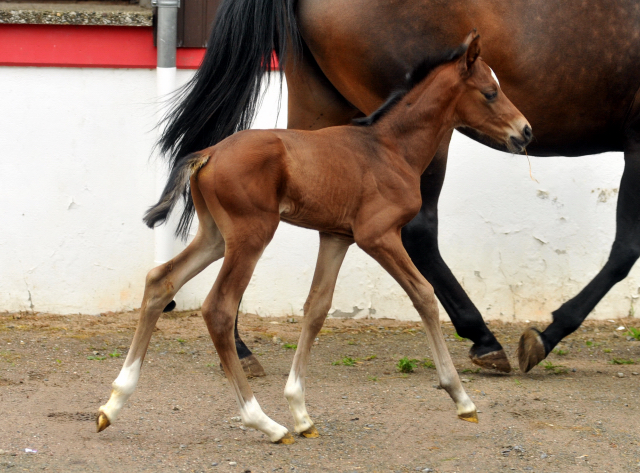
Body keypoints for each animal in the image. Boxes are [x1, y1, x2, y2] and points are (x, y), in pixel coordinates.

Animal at [99, 34, 528, 442]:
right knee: (219, 308)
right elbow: (424, 293)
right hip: (251, 235)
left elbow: (317, 307)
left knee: (161, 280)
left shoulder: (336, 236)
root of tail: (210, 152)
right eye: (490, 92)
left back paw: (114, 402)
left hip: (216, 237)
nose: (524, 131)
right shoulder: (378, 235)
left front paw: (301, 411)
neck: (390, 148)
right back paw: (264, 423)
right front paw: (461, 397)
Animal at [155, 0, 640, 372]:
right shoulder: (638, 140)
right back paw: (484, 338)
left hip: (317, 102)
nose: (526, 131)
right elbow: (625, 250)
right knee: (420, 230)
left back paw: (239, 347)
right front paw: (543, 337)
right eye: (489, 92)